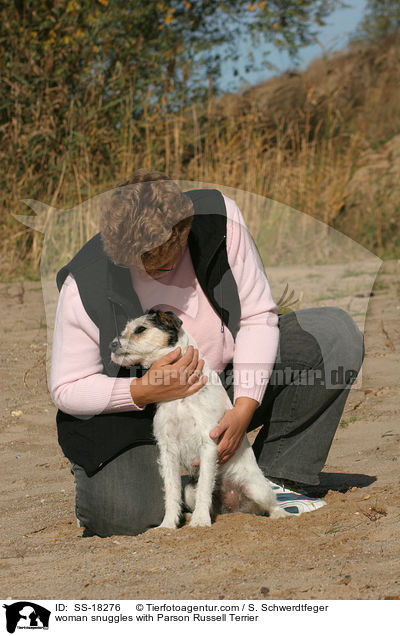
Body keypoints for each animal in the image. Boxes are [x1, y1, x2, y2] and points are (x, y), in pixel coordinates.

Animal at [110, 312, 288, 528]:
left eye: (140, 329)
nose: (111, 345)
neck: (180, 397)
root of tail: (236, 507)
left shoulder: (208, 444)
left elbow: (204, 487)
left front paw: (200, 521)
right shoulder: (167, 449)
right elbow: (171, 491)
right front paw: (168, 524)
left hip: (256, 488)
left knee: (272, 504)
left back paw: (281, 515)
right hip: (189, 492)